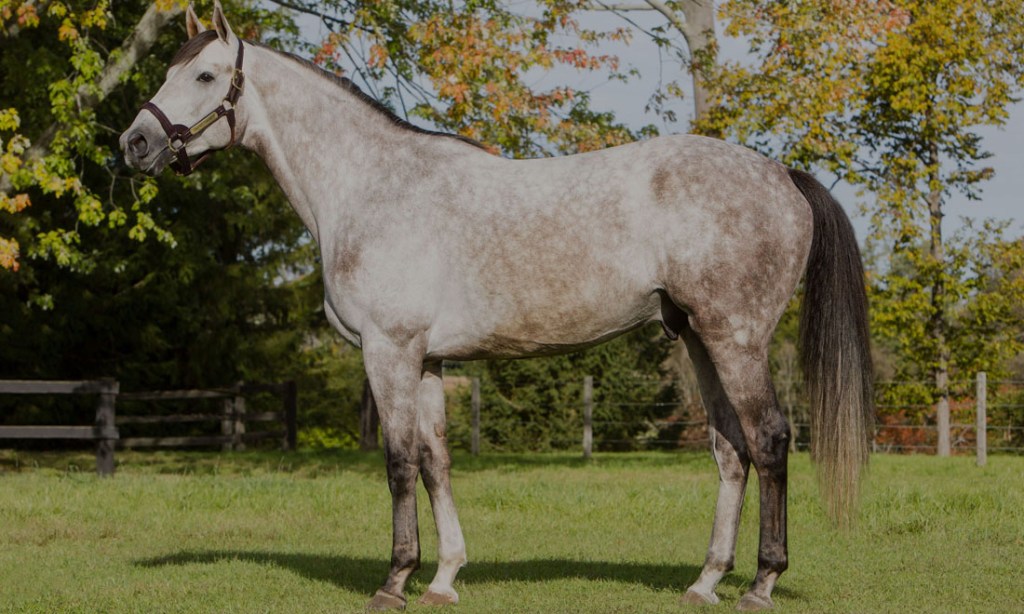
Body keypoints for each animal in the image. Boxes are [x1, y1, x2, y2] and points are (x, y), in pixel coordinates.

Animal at [120, 3, 873, 610]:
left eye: (206, 76)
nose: (134, 143)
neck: (372, 186)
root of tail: (781, 174)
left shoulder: (388, 352)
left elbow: (398, 462)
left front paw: (394, 582)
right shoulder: (426, 361)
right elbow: (436, 462)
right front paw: (443, 578)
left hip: (736, 338)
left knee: (769, 440)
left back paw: (761, 584)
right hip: (697, 340)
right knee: (730, 451)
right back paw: (705, 582)